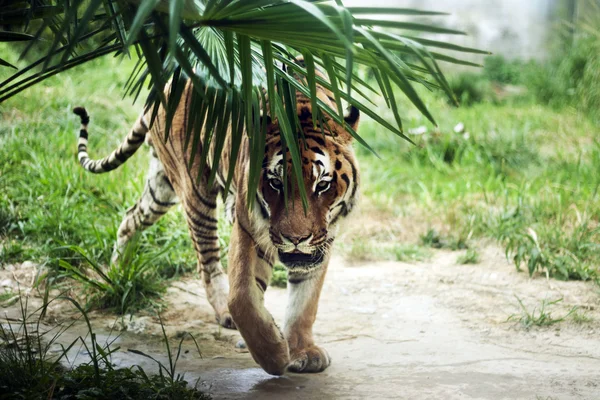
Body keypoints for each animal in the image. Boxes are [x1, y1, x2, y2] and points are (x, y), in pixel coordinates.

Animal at [72, 59, 358, 376]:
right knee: (207, 260)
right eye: (275, 183)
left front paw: (303, 351)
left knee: (130, 216)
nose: (296, 239)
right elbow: (243, 297)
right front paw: (274, 355)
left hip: (160, 187)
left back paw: (117, 271)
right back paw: (222, 310)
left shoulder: (323, 241)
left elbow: (305, 302)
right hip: (194, 186)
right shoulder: (248, 226)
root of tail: (167, 79)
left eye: (322, 185)